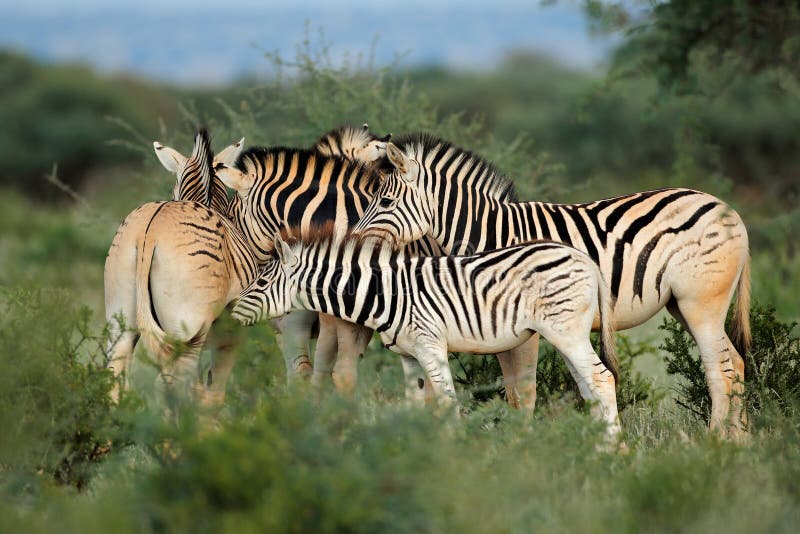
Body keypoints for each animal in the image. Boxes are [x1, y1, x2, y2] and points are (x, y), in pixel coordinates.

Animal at [103, 132, 258, 408]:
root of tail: (149, 232)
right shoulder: (232, 325)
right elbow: (215, 389)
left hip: (120, 322)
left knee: (117, 383)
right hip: (187, 327)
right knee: (176, 385)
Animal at [228, 229, 620, 440]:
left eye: (261, 283)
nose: (231, 312)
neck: (385, 293)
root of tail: (583, 257)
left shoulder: (431, 345)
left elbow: (446, 401)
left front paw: (453, 454)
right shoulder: (408, 356)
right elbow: (415, 405)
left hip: (565, 331)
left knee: (601, 378)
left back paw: (614, 449)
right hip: (567, 334)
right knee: (588, 385)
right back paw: (595, 445)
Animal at [354, 135, 752, 436]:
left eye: (385, 201)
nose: (354, 242)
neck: (490, 233)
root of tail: (727, 208)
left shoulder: (522, 326)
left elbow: (523, 393)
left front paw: (522, 446)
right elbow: (515, 392)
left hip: (700, 302)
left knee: (720, 371)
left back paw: (714, 443)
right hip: (683, 304)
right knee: (736, 363)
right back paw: (741, 443)